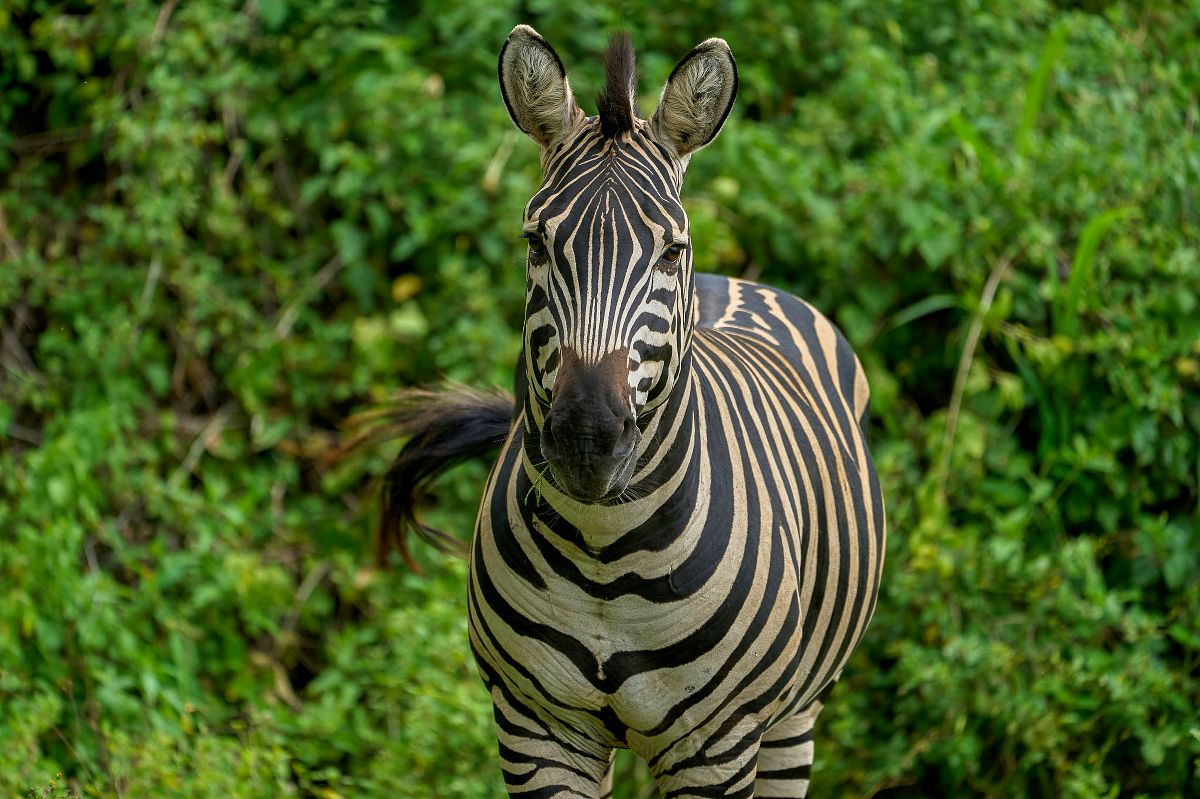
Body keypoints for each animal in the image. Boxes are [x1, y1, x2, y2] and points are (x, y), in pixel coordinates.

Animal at [377, 26, 886, 798]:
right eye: (535, 243)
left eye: (671, 251)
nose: (587, 439)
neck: (605, 556)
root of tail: (737, 283)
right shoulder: (536, 730)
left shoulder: (718, 747)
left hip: (794, 716)